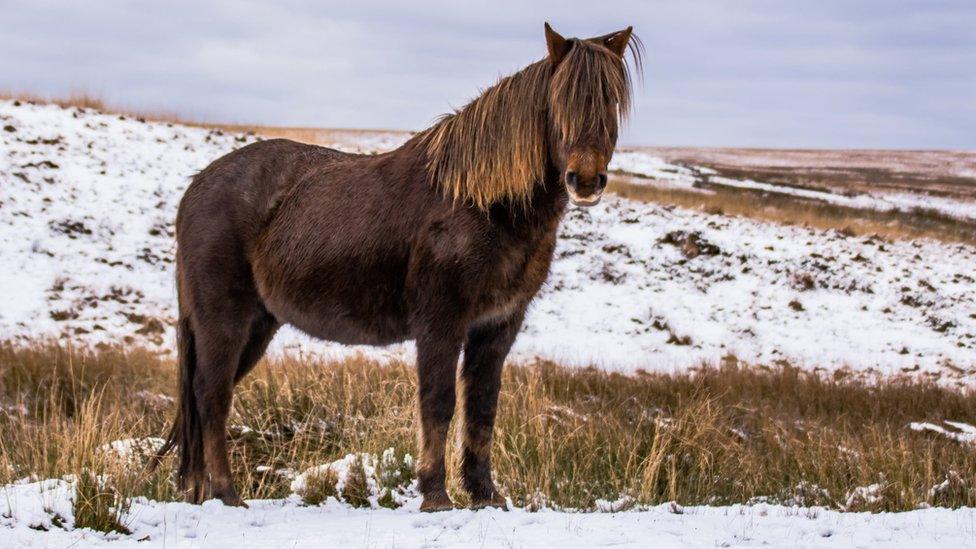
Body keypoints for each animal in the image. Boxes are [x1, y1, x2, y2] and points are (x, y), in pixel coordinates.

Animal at [157, 21, 644, 510]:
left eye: (612, 102)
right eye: (559, 103)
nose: (585, 180)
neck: (480, 203)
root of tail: (195, 190)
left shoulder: (498, 327)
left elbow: (482, 408)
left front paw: (485, 494)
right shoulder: (440, 322)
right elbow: (438, 402)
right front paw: (435, 494)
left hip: (258, 324)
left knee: (203, 398)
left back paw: (201, 492)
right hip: (225, 321)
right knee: (213, 397)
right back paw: (225, 493)